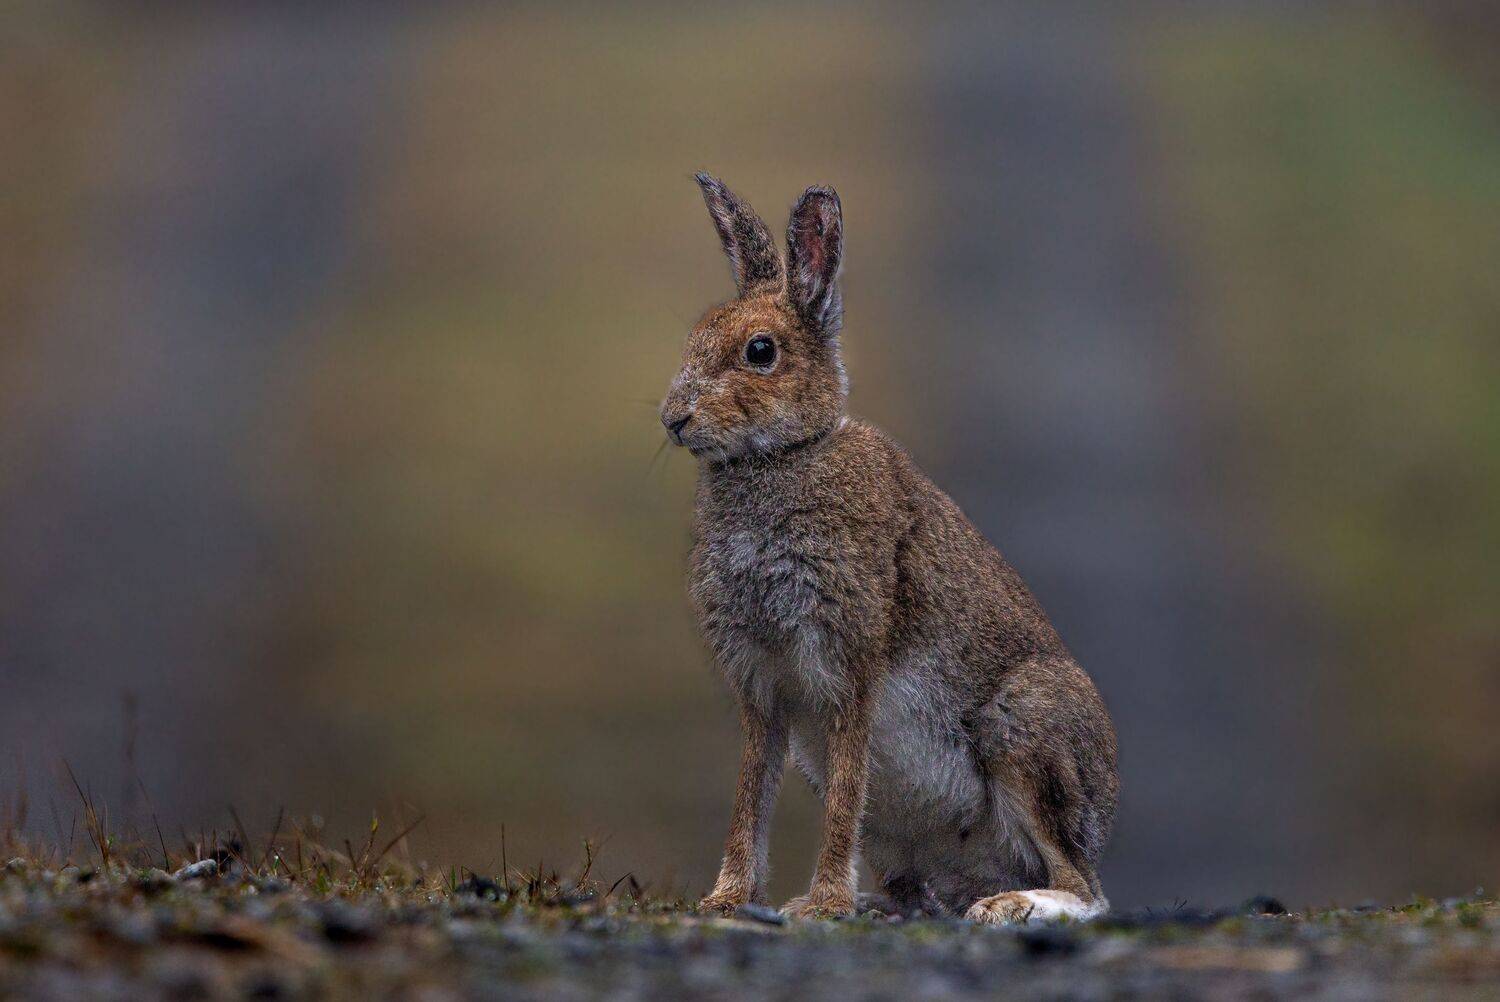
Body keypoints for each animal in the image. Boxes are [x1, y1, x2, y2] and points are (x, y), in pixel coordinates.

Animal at [660, 173, 1118, 924]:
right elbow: (749, 798)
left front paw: (822, 907)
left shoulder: (848, 664)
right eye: (696, 337)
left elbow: (847, 793)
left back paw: (1006, 906)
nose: (674, 419)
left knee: (1086, 890)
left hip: (1026, 729)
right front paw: (726, 901)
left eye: (761, 351)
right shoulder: (761, 688)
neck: (786, 455)